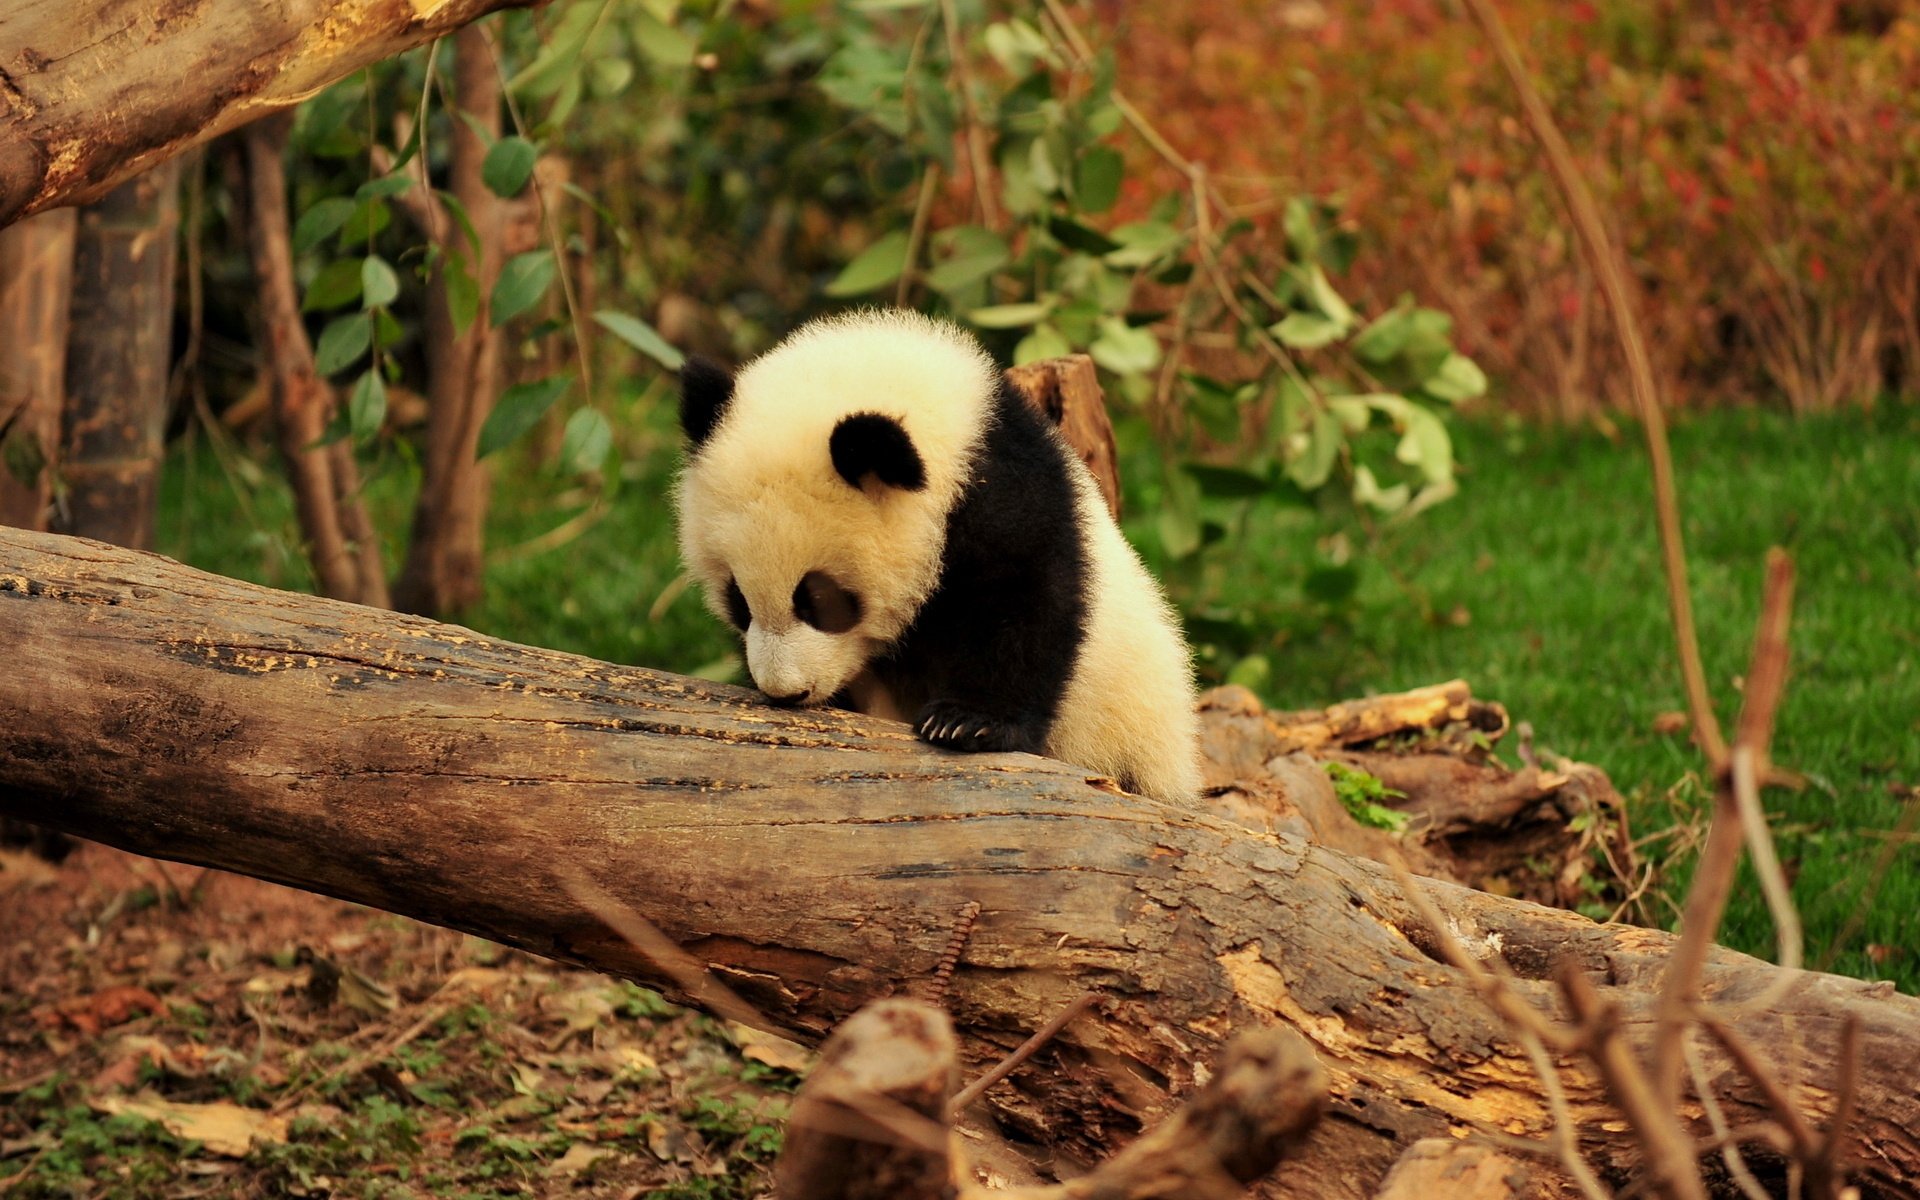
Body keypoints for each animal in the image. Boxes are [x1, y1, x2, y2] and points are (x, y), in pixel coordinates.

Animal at [674, 308, 1201, 805]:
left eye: (821, 601)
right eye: (738, 601)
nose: (786, 693)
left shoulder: (1002, 496)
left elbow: (1027, 602)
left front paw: (967, 722)